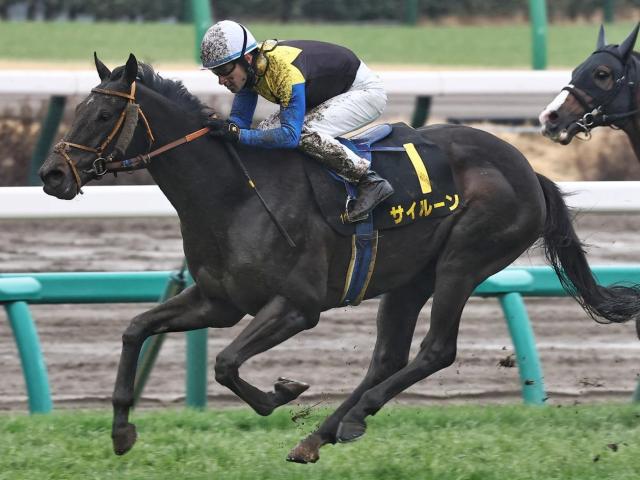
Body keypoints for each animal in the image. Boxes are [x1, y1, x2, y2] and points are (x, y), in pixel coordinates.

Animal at [39, 53, 640, 464]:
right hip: (410, 278)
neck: (233, 195)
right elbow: (136, 328)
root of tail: (529, 170)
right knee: (389, 356)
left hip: (463, 261)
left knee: (436, 351)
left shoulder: (297, 306)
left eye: (102, 115)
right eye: (80, 109)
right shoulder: (218, 300)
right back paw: (324, 433)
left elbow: (227, 363)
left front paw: (281, 392)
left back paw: (341, 423)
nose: (52, 174)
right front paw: (121, 431)